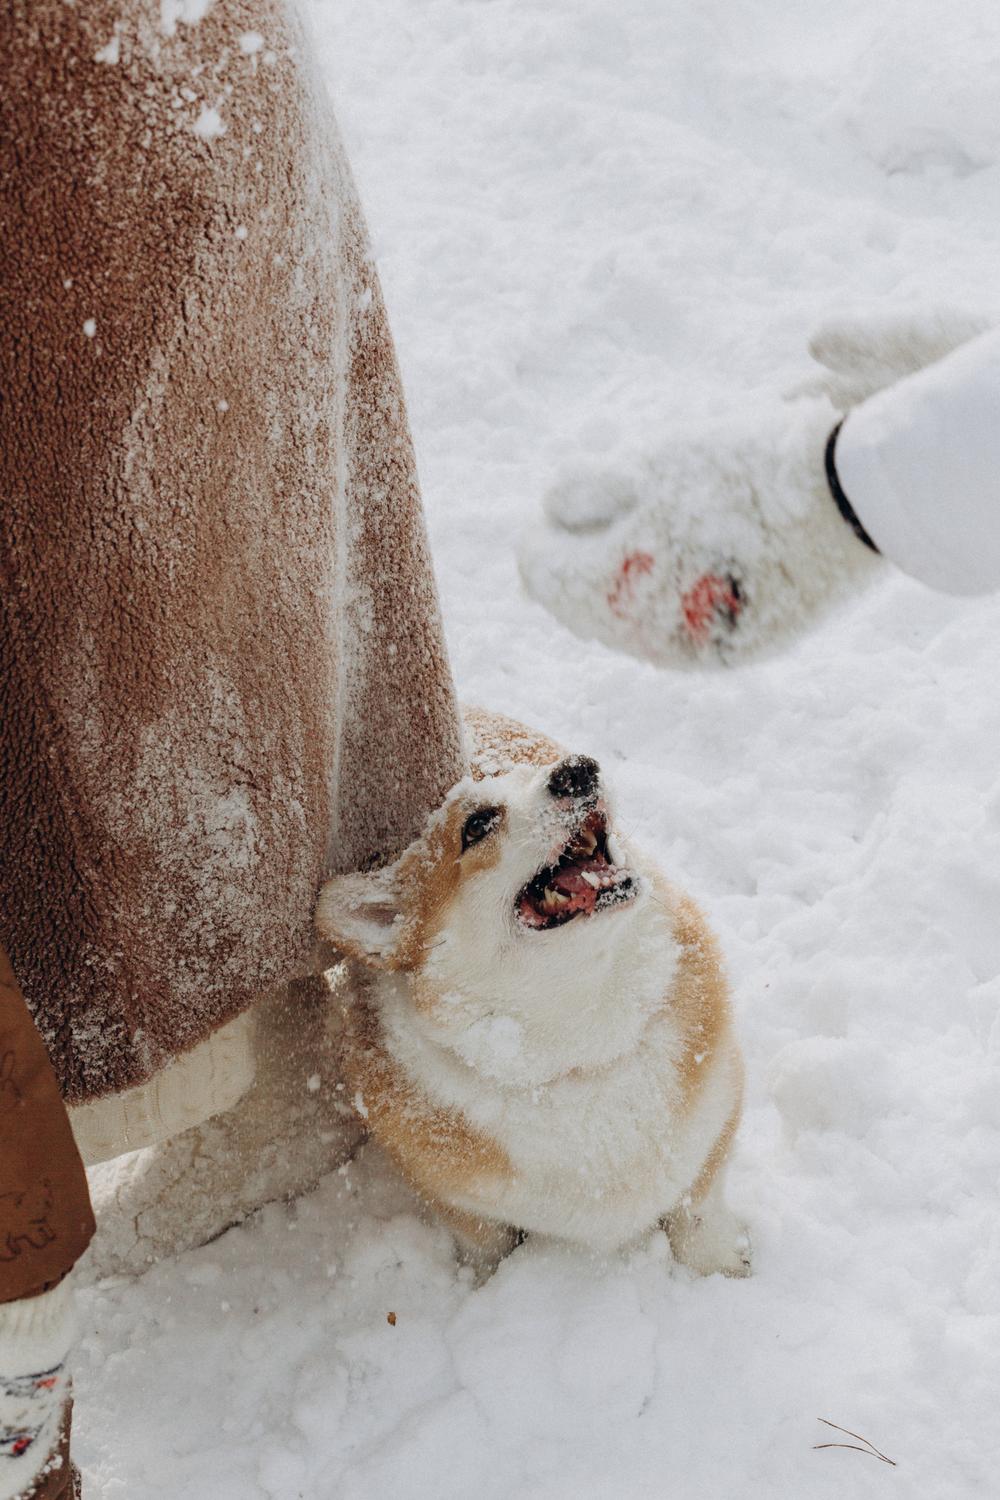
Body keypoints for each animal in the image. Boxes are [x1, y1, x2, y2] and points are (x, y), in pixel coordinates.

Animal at [316, 714, 746, 1278]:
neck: (579, 1046)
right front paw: (484, 1285)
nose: (578, 770)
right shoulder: (453, 1200)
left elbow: (698, 1213)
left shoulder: (716, 1123)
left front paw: (723, 1269)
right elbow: (486, 1245)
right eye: (476, 825)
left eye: (533, 772)